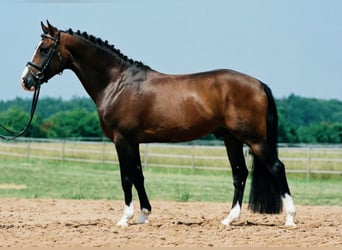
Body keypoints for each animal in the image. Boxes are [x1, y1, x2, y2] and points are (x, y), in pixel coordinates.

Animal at [20, 21, 296, 228]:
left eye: (44, 48)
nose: (26, 80)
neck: (117, 83)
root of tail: (258, 83)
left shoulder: (121, 140)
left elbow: (126, 177)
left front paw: (125, 218)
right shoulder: (134, 141)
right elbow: (139, 175)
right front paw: (143, 215)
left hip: (255, 140)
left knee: (276, 167)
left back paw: (290, 219)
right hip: (232, 139)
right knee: (240, 173)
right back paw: (229, 219)